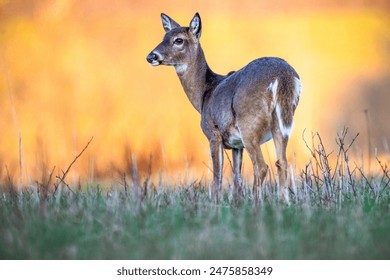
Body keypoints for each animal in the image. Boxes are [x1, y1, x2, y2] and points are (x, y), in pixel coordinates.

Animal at [146, 13, 302, 200]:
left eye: (178, 40)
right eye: (164, 37)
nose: (151, 56)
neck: (204, 94)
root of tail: (283, 76)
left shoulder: (213, 134)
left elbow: (217, 179)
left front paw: (215, 203)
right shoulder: (236, 145)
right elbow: (237, 180)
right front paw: (236, 203)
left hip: (249, 124)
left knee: (262, 166)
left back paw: (257, 203)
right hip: (281, 123)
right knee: (282, 163)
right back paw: (283, 202)